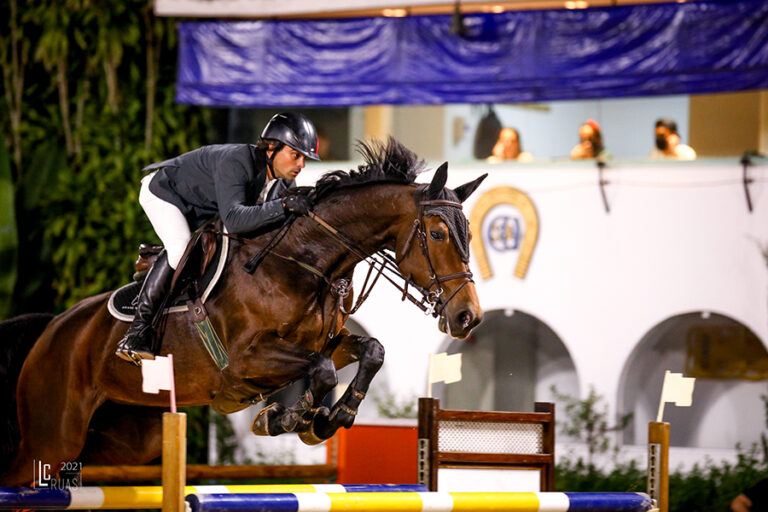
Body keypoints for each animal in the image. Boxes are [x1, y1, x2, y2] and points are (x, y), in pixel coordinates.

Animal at [0, 138, 486, 486]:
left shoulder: (326, 341)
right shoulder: (246, 360)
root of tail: (52, 328)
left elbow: (371, 350)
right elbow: (323, 370)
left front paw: (331, 417)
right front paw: (286, 418)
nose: (469, 317)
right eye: (439, 234)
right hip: (53, 436)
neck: (303, 259)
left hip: (123, 439)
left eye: (468, 233)